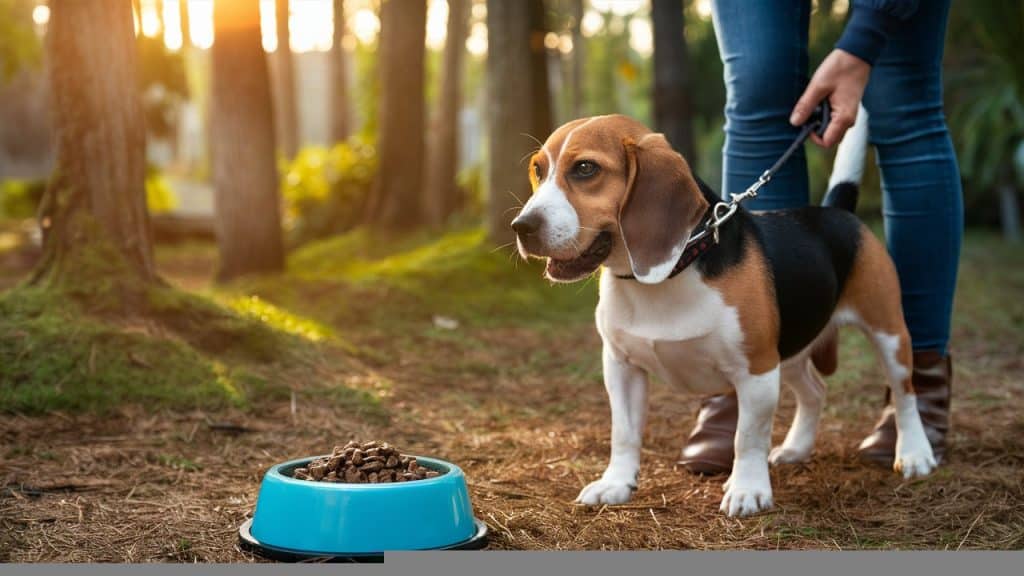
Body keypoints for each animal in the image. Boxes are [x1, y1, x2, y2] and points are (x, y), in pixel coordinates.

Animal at [509, 113, 937, 516]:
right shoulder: (621, 366)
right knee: (815, 392)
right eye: (538, 170)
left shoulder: (757, 370)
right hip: (789, 350)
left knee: (905, 394)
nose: (521, 227)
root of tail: (834, 211)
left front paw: (747, 490)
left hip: (888, 334)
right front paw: (615, 484)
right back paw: (796, 448)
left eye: (586, 169)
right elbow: (624, 432)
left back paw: (914, 454)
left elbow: (746, 438)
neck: (670, 271)